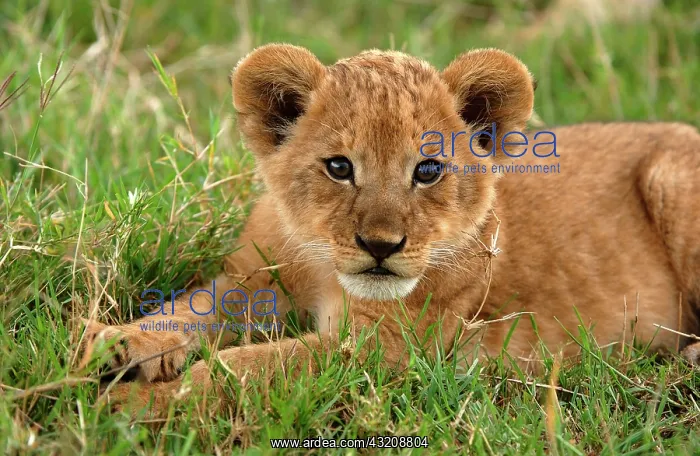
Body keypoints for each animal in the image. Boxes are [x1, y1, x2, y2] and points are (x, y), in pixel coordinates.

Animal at [81, 44, 700, 413]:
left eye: (427, 170)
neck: (321, 266)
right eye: (339, 167)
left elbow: (249, 367)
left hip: (672, 180)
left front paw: (141, 404)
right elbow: (191, 308)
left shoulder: (388, 348)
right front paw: (116, 344)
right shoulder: (252, 279)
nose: (380, 246)